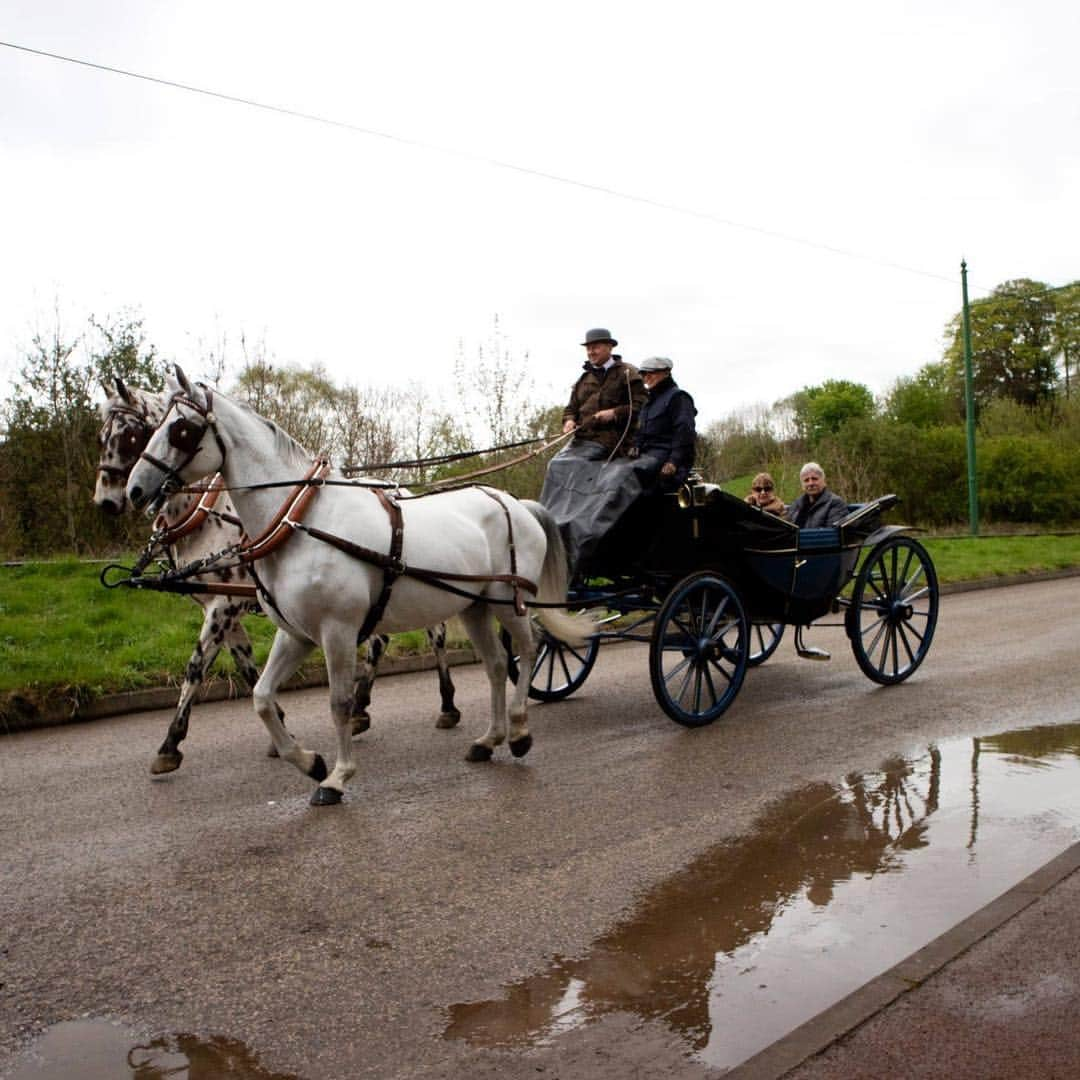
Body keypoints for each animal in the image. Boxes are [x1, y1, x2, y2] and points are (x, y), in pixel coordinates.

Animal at [126, 369, 591, 803]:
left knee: (529, 647)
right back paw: (488, 739)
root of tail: (514, 502)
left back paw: (519, 732)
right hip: (472, 606)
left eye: (179, 428)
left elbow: (339, 703)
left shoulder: (338, 630)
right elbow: (260, 696)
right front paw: (309, 761)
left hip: (508, 601)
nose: (134, 489)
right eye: (153, 427)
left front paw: (337, 777)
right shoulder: (294, 634)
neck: (300, 522)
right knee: (495, 665)